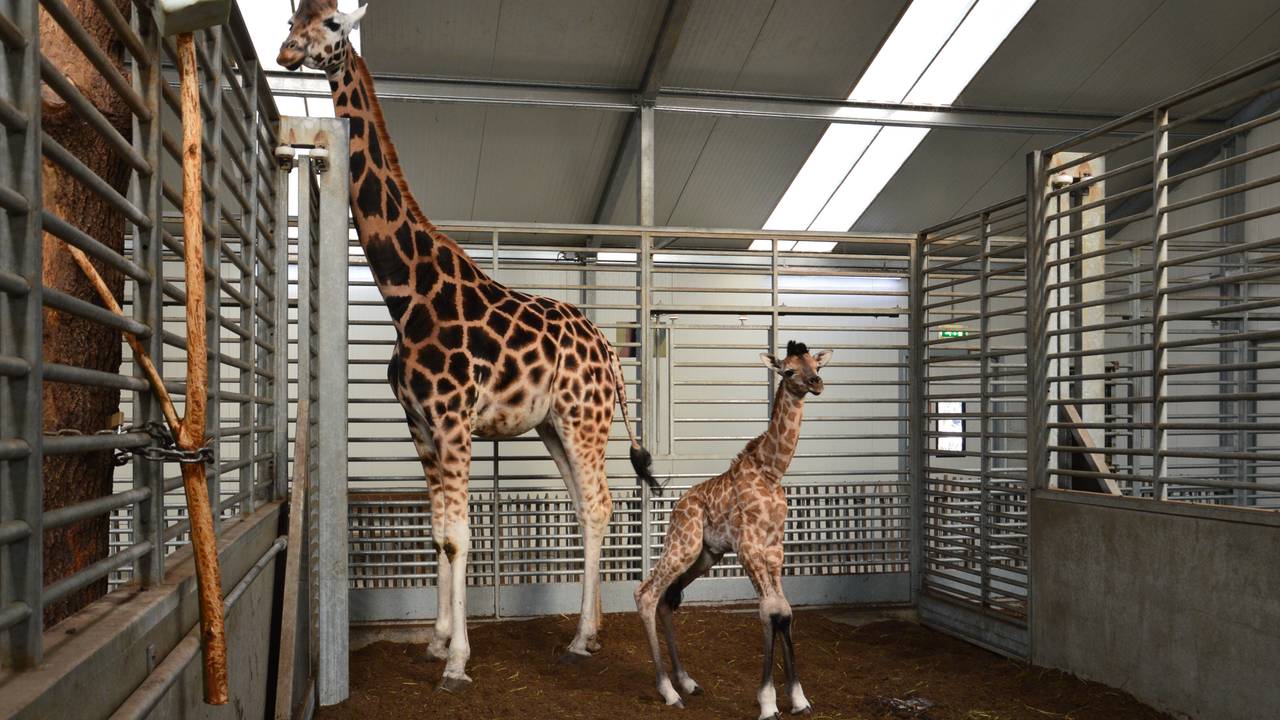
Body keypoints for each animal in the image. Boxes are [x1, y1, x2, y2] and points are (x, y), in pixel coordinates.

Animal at [277, 1, 658, 690]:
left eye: (334, 26)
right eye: (296, 17)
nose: (287, 54)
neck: (407, 294)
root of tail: (611, 353)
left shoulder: (453, 421)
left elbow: (458, 537)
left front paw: (456, 662)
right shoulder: (420, 424)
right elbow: (438, 533)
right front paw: (436, 641)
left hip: (585, 419)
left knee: (599, 503)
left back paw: (582, 637)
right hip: (553, 425)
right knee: (585, 505)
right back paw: (587, 633)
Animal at [634, 341, 830, 719]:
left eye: (815, 365)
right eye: (788, 371)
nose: (816, 383)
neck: (772, 471)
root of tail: (677, 509)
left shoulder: (774, 548)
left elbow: (784, 612)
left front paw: (798, 698)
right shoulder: (748, 545)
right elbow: (769, 611)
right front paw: (768, 702)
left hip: (704, 556)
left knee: (665, 601)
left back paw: (687, 682)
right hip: (683, 545)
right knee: (647, 594)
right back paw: (668, 691)